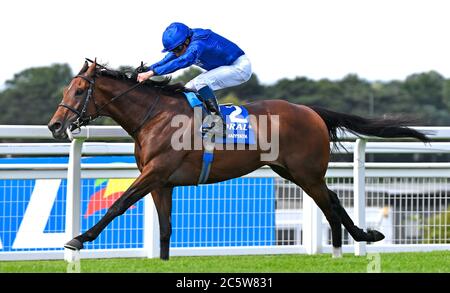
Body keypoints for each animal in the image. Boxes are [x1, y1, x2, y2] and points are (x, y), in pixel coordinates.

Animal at [48, 59, 428, 258]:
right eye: (66, 89)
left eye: (79, 91)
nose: (55, 125)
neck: (154, 116)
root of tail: (312, 111)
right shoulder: (161, 181)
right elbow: (166, 228)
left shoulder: (155, 172)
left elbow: (118, 205)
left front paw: (78, 238)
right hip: (292, 172)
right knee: (331, 200)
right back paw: (352, 240)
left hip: (306, 172)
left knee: (329, 201)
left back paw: (349, 244)